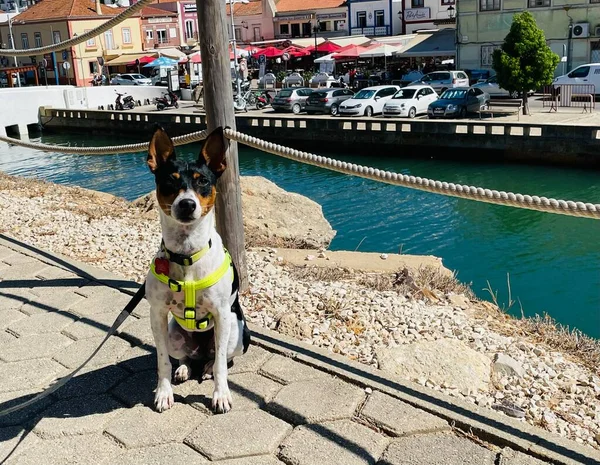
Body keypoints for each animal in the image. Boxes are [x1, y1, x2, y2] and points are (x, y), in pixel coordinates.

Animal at [145, 125, 248, 412]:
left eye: (202, 181)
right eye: (170, 181)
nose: (187, 204)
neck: (187, 254)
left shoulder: (222, 313)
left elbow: (222, 364)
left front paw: (221, 395)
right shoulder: (157, 314)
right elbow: (162, 361)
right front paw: (163, 392)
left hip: (236, 331)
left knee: (219, 358)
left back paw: (208, 368)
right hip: (174, 333)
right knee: (185, 358)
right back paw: (184, 369)